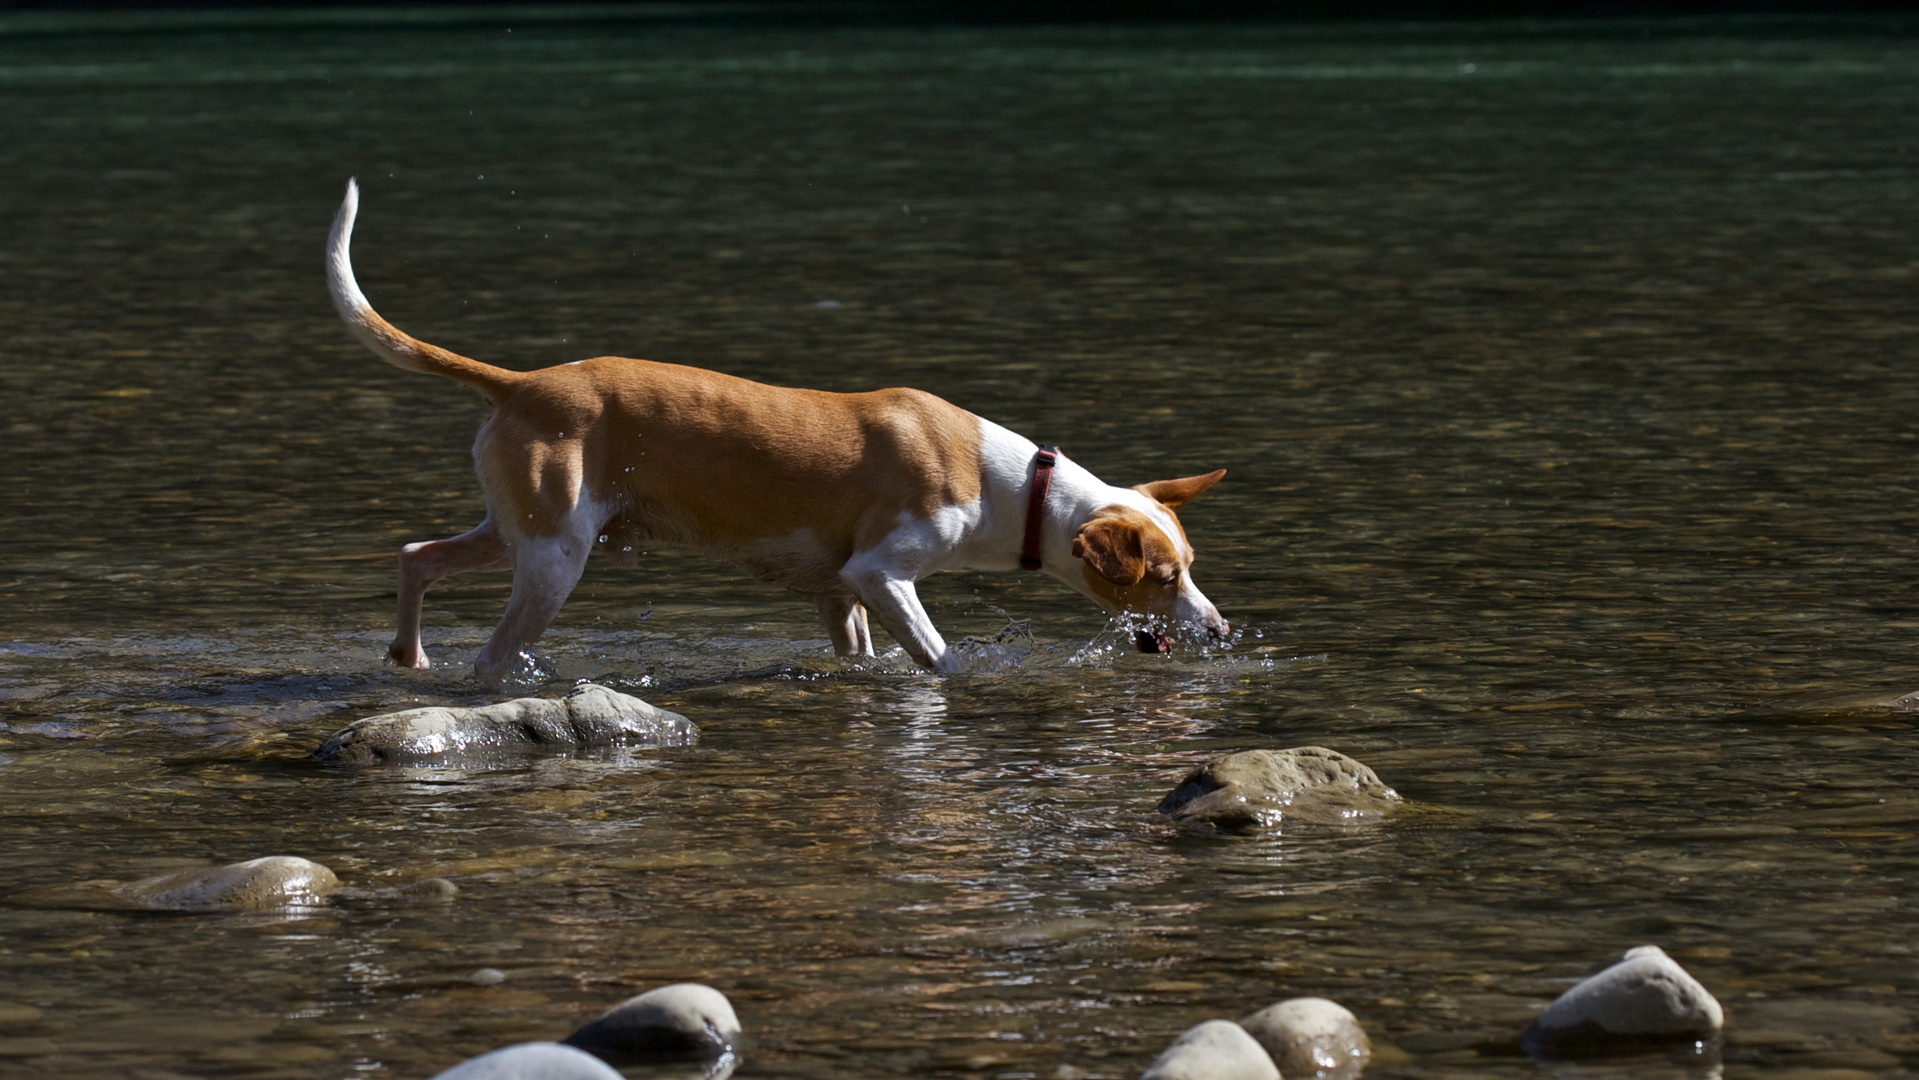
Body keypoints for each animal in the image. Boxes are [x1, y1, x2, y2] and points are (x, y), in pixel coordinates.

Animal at [326, 180, 1228, 679]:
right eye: (1162, 578)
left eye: (1188, 567)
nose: (1220, 628)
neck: (1016, 486)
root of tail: (522, 382)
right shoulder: (880, 573)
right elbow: (941, 657)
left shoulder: (841, 595)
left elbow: (858, 654)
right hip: (554, 556)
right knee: (491, 652)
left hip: (521, 530)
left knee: (417, 556)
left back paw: (408, 656)